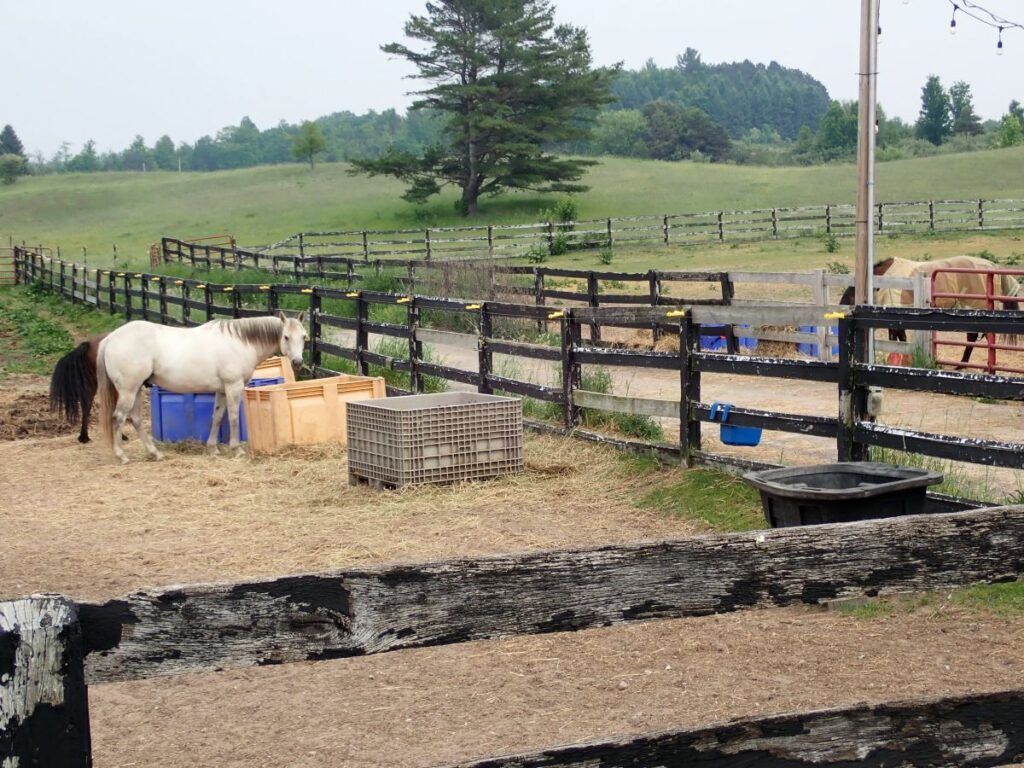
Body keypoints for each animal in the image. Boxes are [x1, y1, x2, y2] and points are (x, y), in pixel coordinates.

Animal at [97, 312, 306, 464]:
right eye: (286, 337)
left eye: (304, 337)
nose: (297, 362)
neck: (240, 342)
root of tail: (110, 339)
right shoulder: (233, 386)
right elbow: (233, 417)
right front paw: (237, 449)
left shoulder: (222, 390)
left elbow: (217, 417)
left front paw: (213, 448)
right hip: (128, 391)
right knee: (118, 418)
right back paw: (122, 456)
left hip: (137, 389)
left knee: (136, 420)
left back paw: (155, 453)